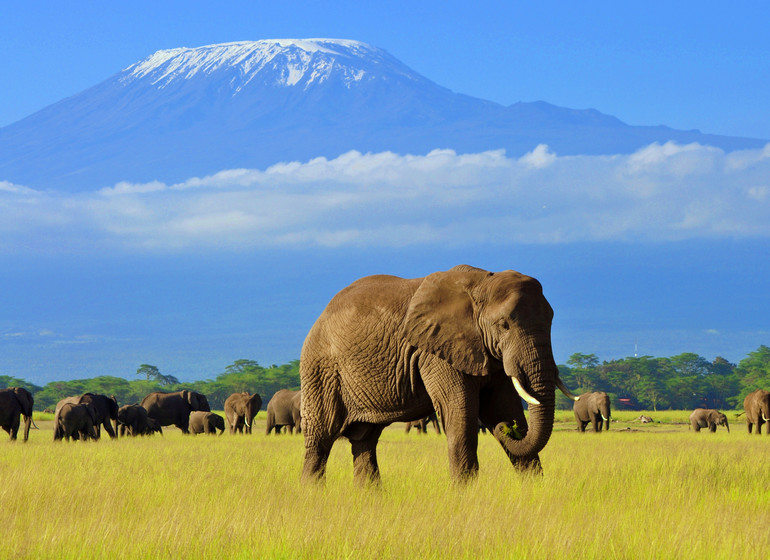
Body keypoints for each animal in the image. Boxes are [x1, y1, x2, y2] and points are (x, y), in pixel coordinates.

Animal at [300, 264, 576, 484]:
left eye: (551, 320)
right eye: (504, 325)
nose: (508, 430)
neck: (482, 283)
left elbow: (503, 406)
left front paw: (534, 489)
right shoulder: (435, 351)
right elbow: (460, 414)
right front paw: (466, 494)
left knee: (365, 439)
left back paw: (370, 497)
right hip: (321, 370)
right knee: (320, 439)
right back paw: (312, 495)